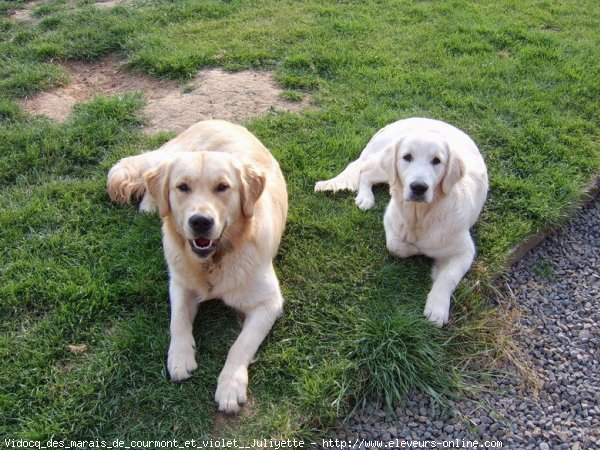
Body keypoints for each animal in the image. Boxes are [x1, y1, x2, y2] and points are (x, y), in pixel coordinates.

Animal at [108, 118, 288, 412]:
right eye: (182, 187)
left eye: (222, 187)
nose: (200, 221)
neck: (213, 262)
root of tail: (216, 120)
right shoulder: (180, 284)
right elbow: (178, 319)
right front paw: (180, 357)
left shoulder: (269, 302)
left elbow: (240, 345)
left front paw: (230, 385)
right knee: (150, 180)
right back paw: (149, 206)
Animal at [314, 118, 488, 326]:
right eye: (407, 157)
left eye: (437, 161)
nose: (419, 187)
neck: (420, 215)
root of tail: (400, 121)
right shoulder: (390, 218)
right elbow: (397, 247)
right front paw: (416, 250)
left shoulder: (465, 251)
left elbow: (448, 278)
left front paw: (437, 308)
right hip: (384, 170)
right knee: (365, 172)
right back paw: (365, 198)